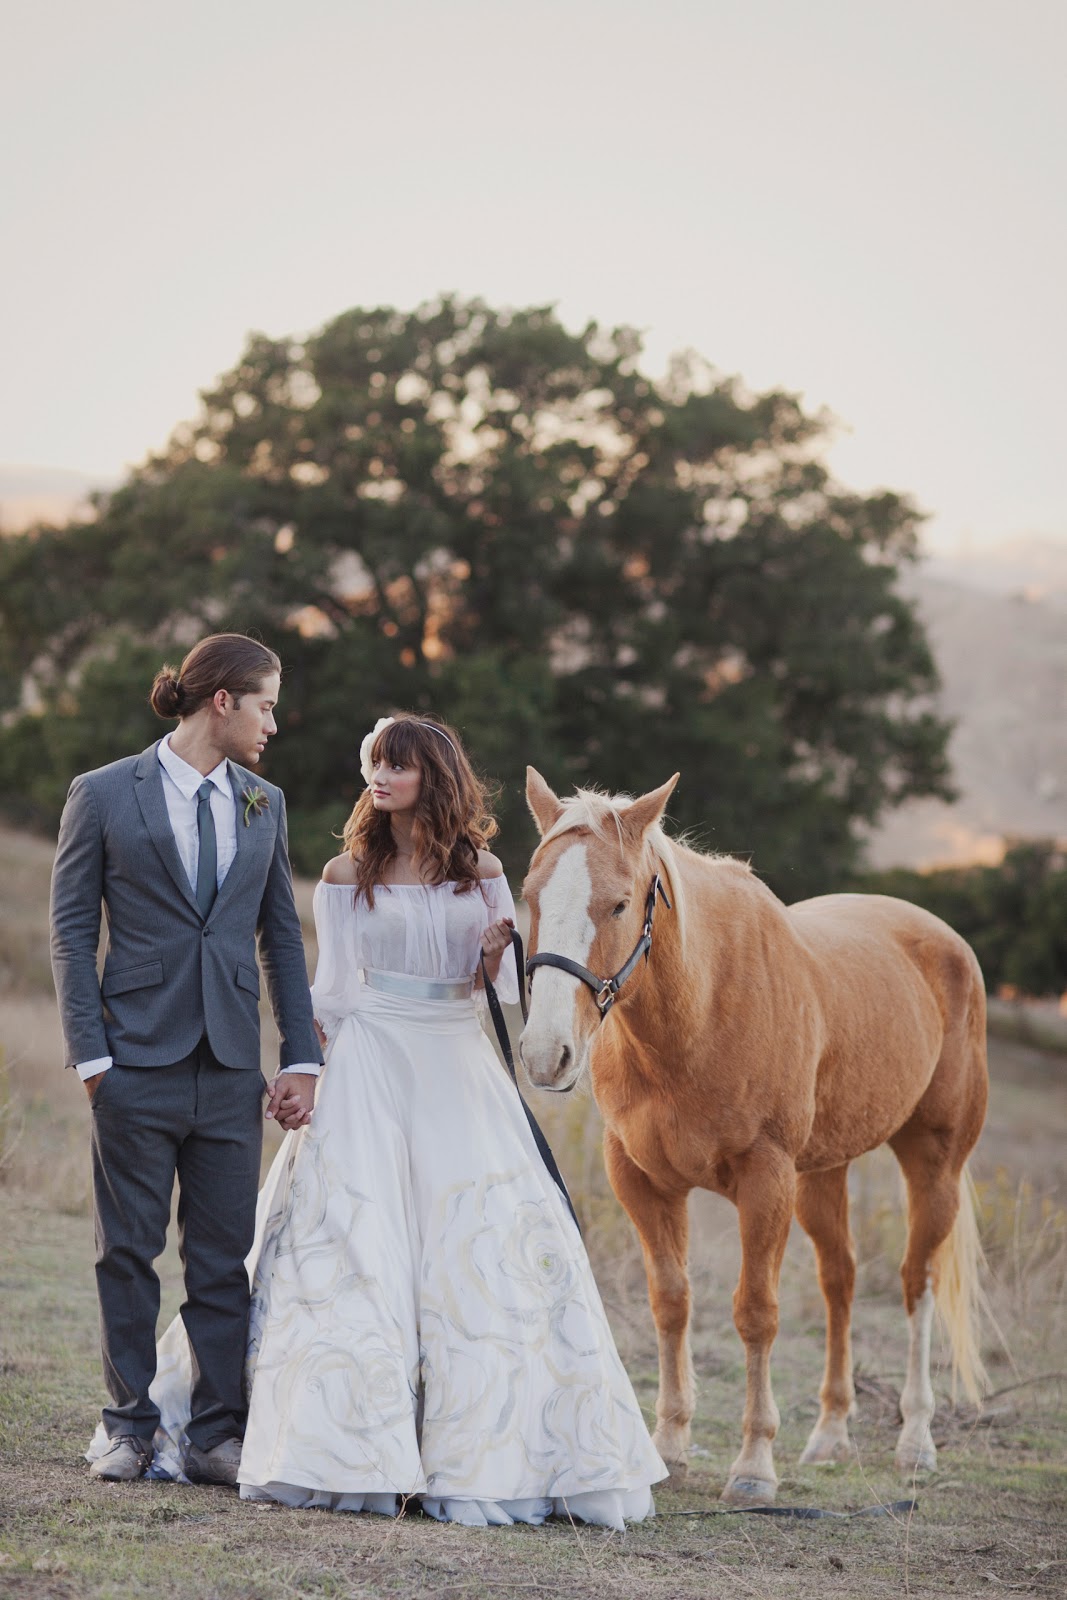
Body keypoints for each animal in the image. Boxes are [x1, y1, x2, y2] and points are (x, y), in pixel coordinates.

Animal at [521, 768, 991, 1504]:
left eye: (619, 904)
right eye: (528, 894)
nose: (547, 1055)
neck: (700, 1011)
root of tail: (943, 941)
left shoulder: (765, 1180)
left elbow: (755, 1312)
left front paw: (752, 1465)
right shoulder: (642, 1180)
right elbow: (671, 1301)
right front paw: (671, 1446)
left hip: (932, 1162)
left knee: (916, 1283)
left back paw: (915, 1439)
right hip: (822, 1173)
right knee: (839, 1280)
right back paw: (829, 1434)